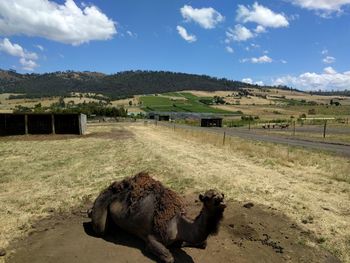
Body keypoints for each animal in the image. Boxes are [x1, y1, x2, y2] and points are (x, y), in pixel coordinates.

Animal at [88, 172, 227, 262]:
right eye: (208, 197)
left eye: (222, 194)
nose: (222, 200)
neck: (178, 225)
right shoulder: (152, 237)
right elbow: (169, 257)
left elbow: (203, 243)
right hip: (103, 202)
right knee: (100, 228)